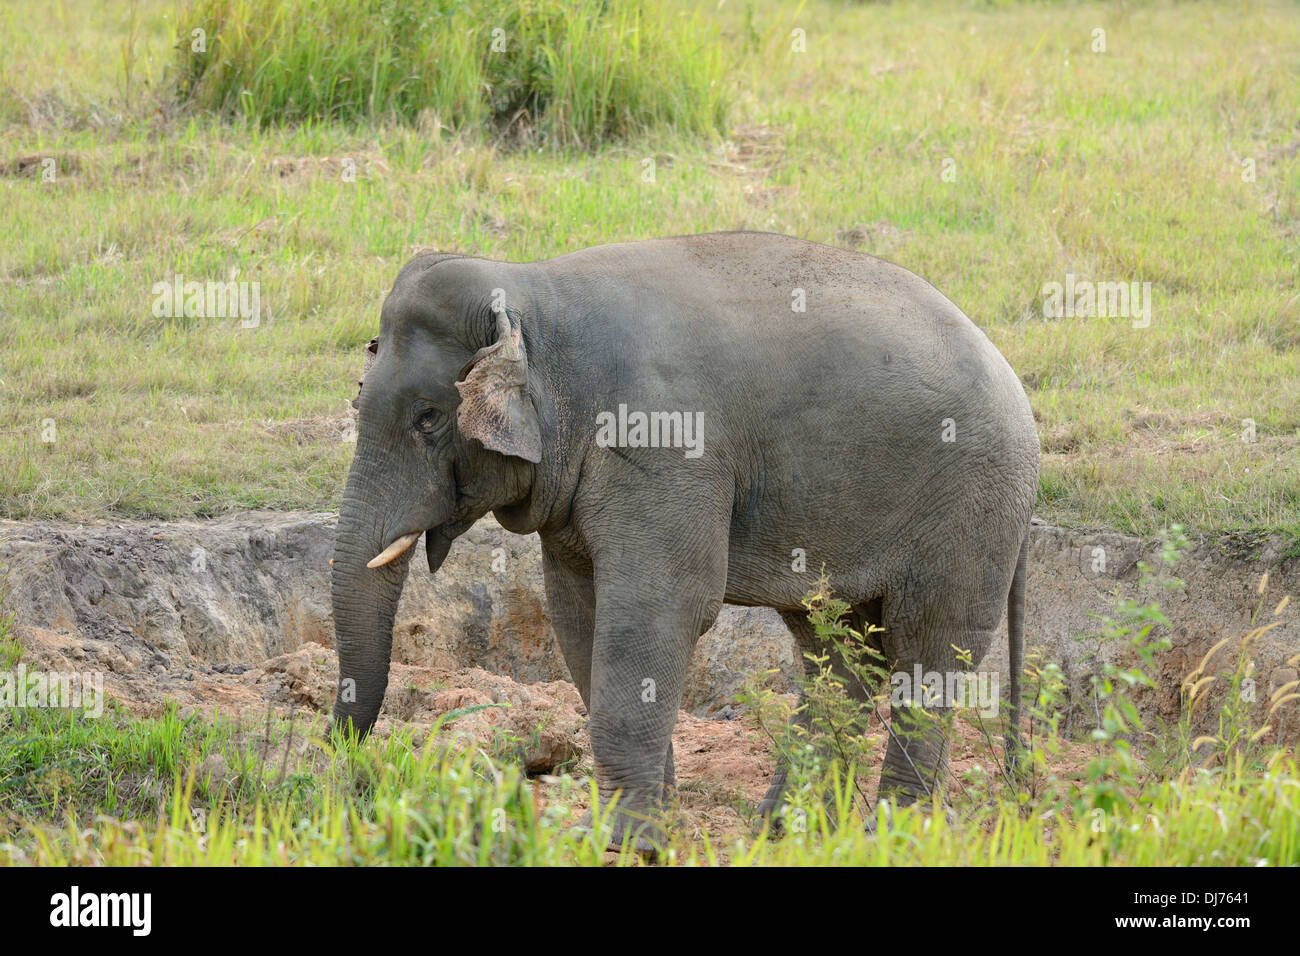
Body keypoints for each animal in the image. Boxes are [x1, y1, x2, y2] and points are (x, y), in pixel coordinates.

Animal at [330, 230, 1039, 850]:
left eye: (428, 419)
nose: (353, 781)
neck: (534, 290)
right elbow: (577, 613)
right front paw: (650, 823)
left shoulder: (664, 447)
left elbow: (660, 609)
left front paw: (622, 842)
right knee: (835, 651)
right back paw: (786, 829)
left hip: (970, 508)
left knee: (928, 651)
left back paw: (893, 834)